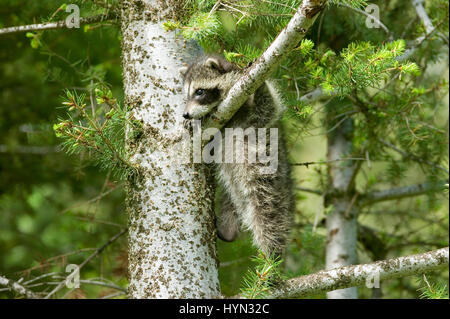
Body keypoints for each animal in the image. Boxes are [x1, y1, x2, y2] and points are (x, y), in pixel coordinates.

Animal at [179, 55, 296, 258]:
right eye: (187, 96)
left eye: (199, 91)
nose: (186, 114)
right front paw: (193, 121)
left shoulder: (253, 117)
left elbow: (267, 109)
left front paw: (260, 85)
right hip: (234, 191)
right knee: (231, 201)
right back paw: (228, 229)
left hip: (269, 183)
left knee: (268, 216)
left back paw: (272, 255)